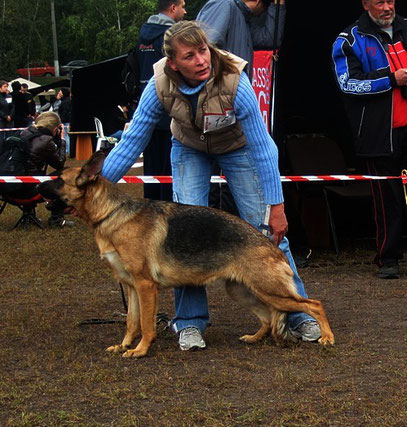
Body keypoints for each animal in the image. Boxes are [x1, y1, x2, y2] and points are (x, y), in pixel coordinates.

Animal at [38, 152, 334, 360]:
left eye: (58, 180)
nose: (36, 187)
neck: (111, 212)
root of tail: (272, 245)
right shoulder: (132, 288)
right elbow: (131, 322)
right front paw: (124, 346)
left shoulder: (146, 287)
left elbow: (146, 324)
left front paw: (140, 350)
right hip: (242, 291)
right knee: (268, 318)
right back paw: (254, 337)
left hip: (270, 291)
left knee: (314, 304)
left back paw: (326, 337)